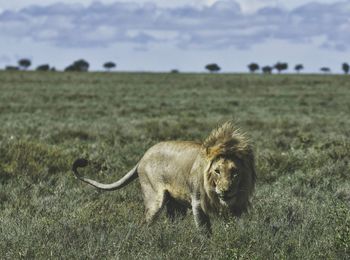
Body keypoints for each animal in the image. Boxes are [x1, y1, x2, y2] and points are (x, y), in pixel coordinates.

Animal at [72, 122, 256, 234]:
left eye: (235, 172)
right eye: (217, 171)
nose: (225, 190)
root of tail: (143, 157)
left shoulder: (236, 207)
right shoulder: (197, 202)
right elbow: (205, 231)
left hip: (175, 204)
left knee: (172, 221)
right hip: (154, 198)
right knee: (144, 223)